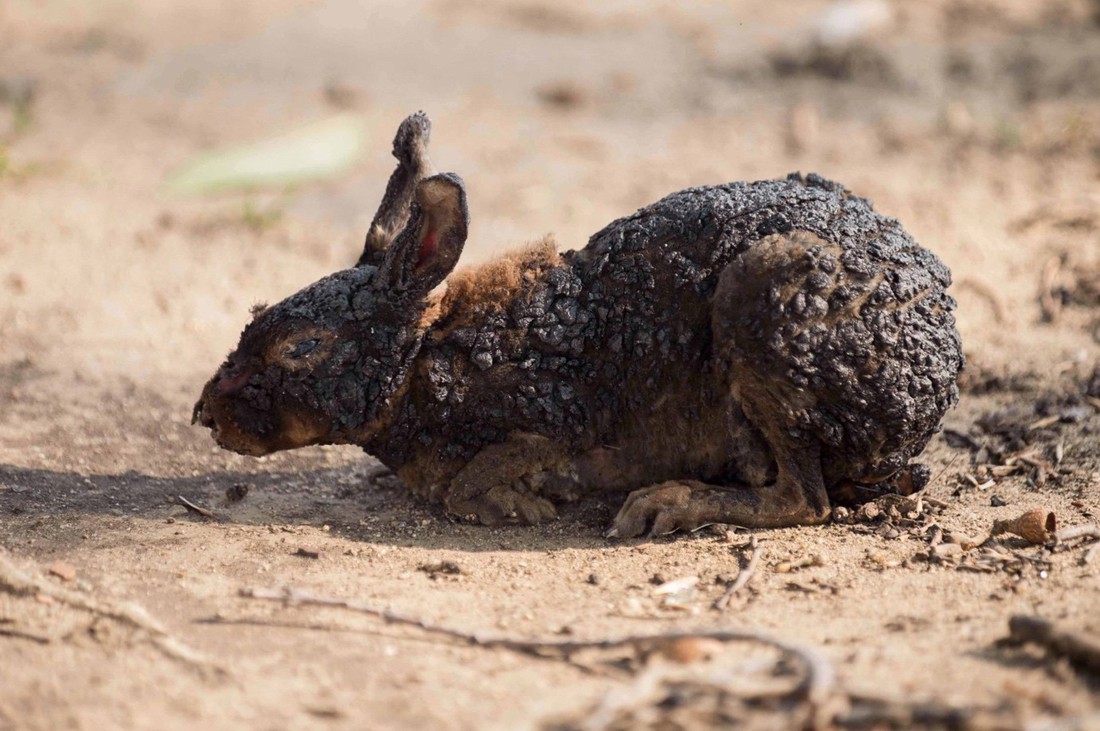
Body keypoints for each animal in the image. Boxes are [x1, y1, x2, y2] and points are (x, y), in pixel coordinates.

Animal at [193, 112, 959, 536]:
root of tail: (937, 378)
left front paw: (516, 506)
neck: (425, 358)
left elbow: (476, 480)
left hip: (765, 297)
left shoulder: (553, 420)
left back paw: (668, 505)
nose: (205, 412)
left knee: (806, 499)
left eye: (302, 347)